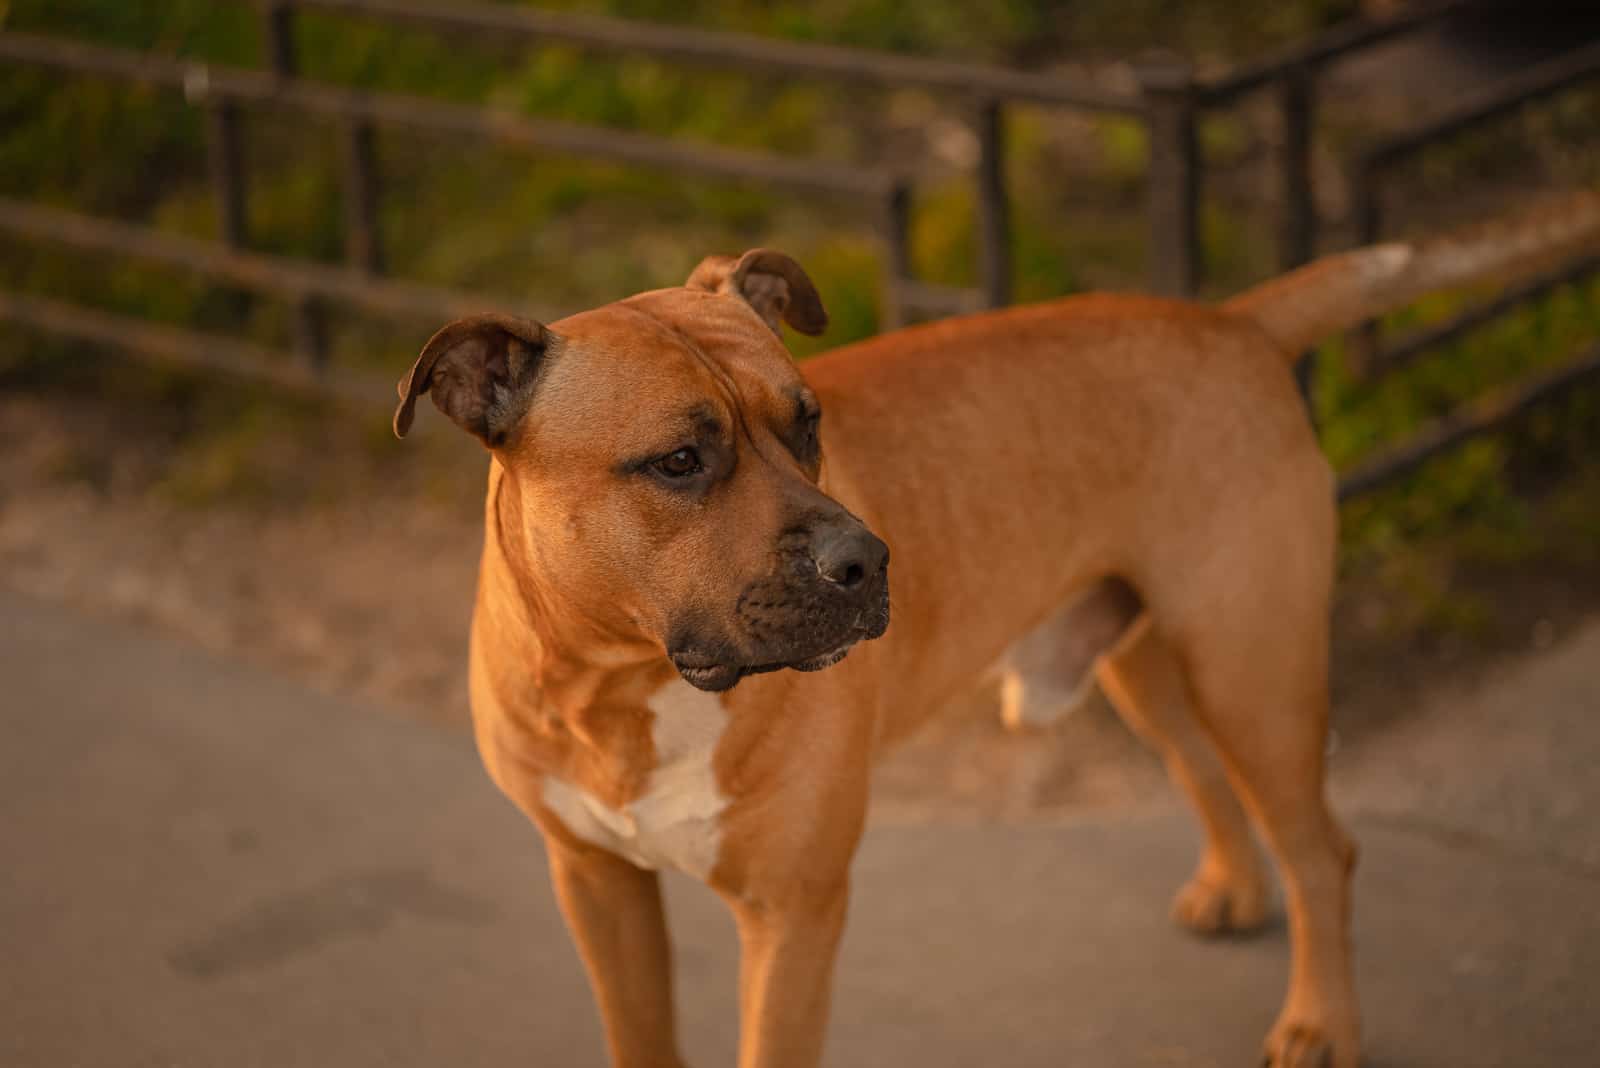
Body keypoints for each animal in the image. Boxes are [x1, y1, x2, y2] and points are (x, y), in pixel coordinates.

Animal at [390, 194, 1600, 1068]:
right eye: (679, 460)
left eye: (809, 422)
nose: (866, 561)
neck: (625, 682)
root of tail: (1232, 319)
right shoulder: (597, 887)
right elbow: (638, 1036)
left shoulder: (794, 918)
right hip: (1150, 662)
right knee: (1206, 769)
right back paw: (1236, 889)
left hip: (1253, 663)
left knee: (1321, 846)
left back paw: (1321, 1023)